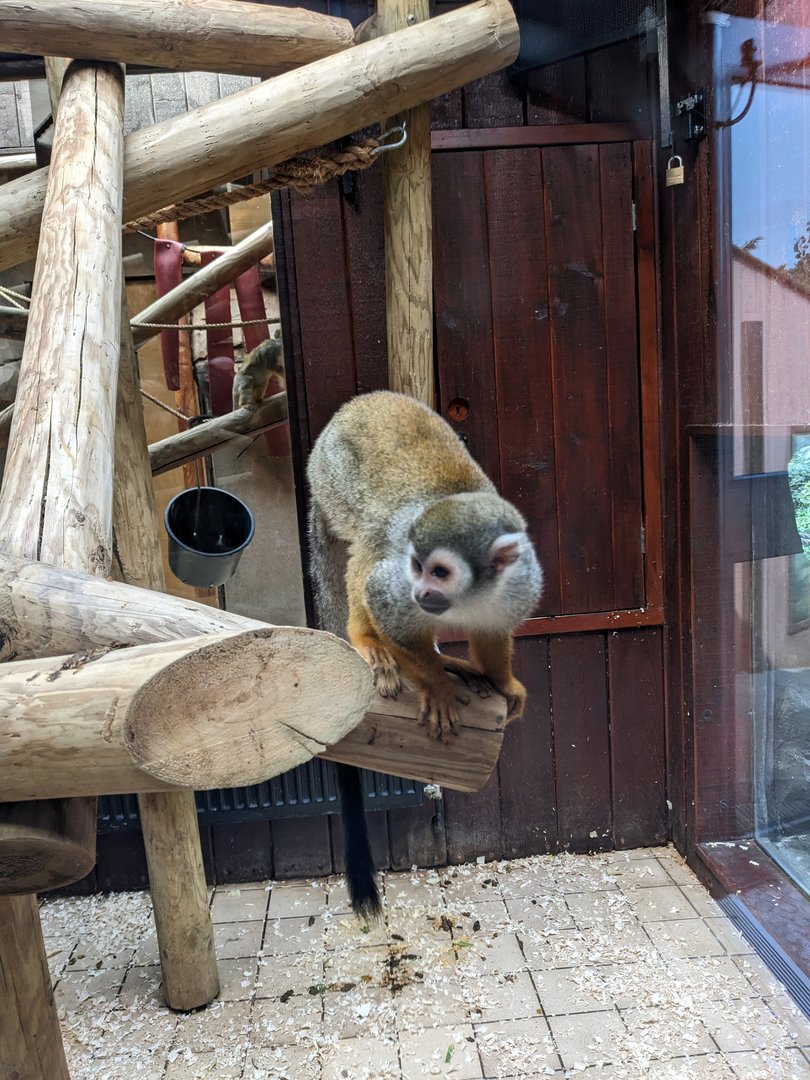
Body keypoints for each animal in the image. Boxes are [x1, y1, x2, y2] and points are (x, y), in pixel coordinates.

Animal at [307, 391, 543, 918]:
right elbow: (382, 597)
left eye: (440, 572)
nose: (421, 592)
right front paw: (435, 687)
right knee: (368, 546)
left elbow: (493, 631)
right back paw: (368, 640)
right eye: (418, 567)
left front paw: (504, 682)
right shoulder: (398, 582)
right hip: (333, 475)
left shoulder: (519, 582)